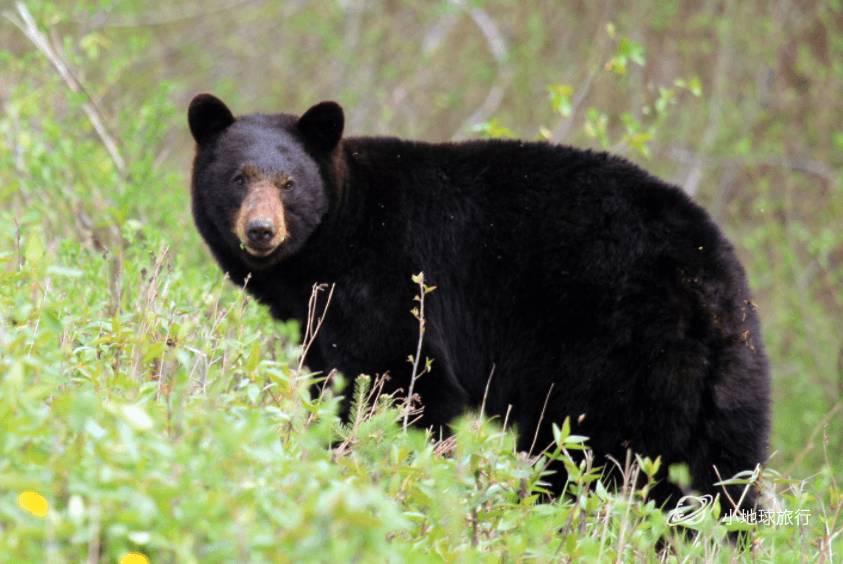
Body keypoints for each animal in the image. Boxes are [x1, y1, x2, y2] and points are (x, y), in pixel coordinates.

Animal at [190, 92, 772, 506]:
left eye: (288, 183)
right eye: (239, 177)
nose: (261, 230)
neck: (341, 231)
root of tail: (712, 280)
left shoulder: (393, 280)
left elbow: (405, 384)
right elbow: (332, 380)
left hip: (617, 352)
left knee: (594, 453)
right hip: (723, 382)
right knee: (725, 472)